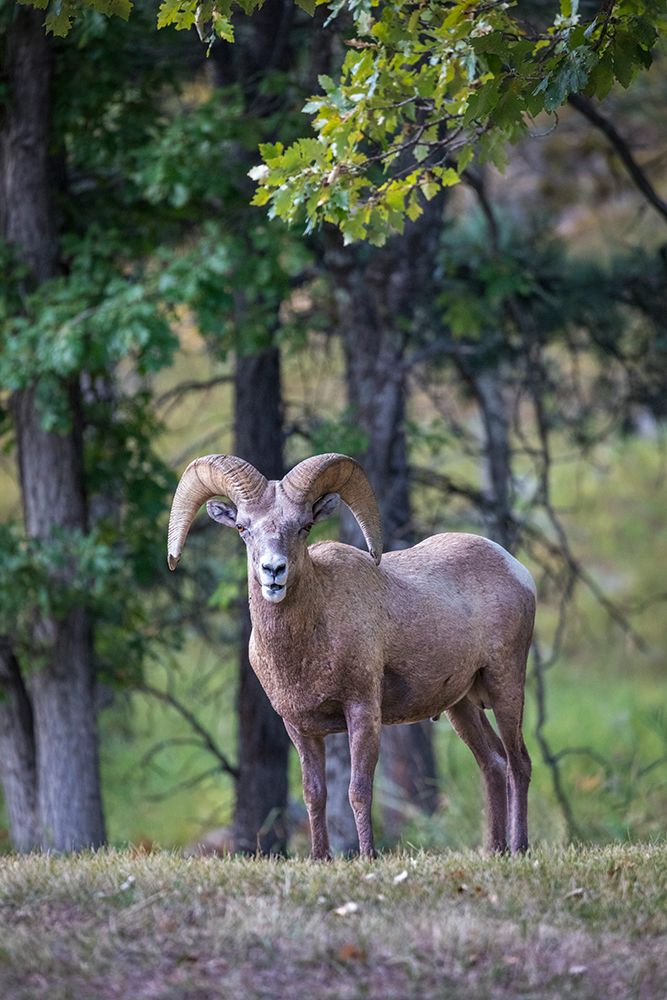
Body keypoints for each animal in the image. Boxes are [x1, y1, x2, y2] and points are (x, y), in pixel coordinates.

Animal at [167, 452, 536, 858]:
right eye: (242, 527)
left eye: (304, 526)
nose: (273, 571)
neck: (307, 645)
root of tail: (515, 569)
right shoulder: (299, 728)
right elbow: (315, 794)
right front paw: (320, 858)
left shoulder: (362, 713)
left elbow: (358, 791)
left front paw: (367, 855)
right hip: (463, 706)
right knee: (493, 764)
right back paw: (494, 850)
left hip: (505, 685)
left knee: (519, 763)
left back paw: (519, 848)